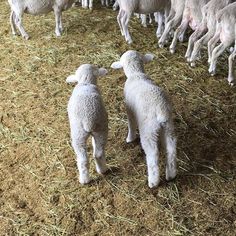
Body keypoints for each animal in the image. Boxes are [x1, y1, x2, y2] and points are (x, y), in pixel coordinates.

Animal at [111, 50, 177, 188]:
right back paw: (171, 174)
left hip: (148, 131)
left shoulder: (129, 111)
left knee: (153, 155)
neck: (136, 74)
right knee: (171, 149)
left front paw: (129, 139)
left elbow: (131, 125)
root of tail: (160, 110)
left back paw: (153, 182)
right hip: (169, 126)